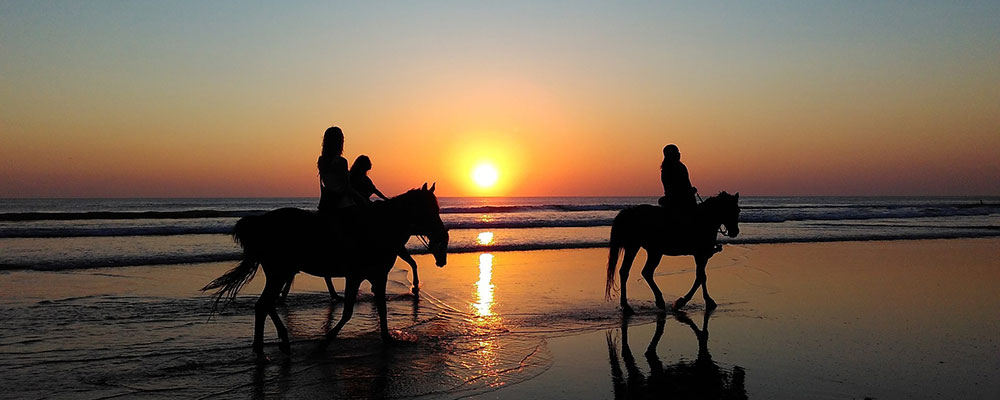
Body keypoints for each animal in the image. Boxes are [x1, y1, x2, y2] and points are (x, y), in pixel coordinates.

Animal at [201, 184, 448, 354]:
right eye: (430, 209)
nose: (442, 235)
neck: (378, 227)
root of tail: (261, 223)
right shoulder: (357, 276)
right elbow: (349, 311)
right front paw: (326, 340)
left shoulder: (376, 276)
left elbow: (381, 308)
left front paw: (387, 338)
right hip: (279, 272)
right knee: (264, 305)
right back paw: (266, 347)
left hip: (279, 273)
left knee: (266, 305)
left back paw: (277, 342)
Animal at [604, 192, 740, 314]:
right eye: (732, 210)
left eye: (737, 211)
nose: (735, 231)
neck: (705, 219)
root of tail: (630, 212)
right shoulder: (701, 255)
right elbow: (701, 277)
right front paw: (685, 302)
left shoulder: (701, 256)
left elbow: (701, 277)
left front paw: (704, 300)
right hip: (641, 248)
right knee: (636, 271)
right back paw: (641, 303)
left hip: (646, 250)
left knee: (636, 272)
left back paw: (639, 304)